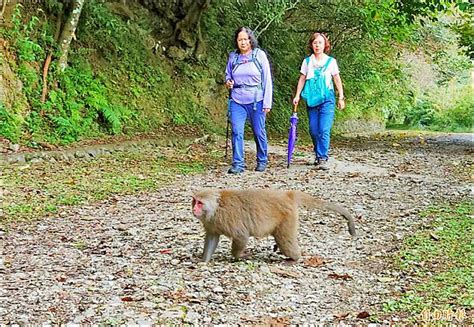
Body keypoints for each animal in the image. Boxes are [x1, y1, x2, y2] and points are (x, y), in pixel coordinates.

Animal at [190, 190, 356, 264]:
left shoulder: (228, 218)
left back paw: (294, 258)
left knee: (285, 241)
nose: (194, 209)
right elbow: (212, 237)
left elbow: (241, 235)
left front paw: (238, 256)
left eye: (200, 203)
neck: (216, 209)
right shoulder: (211, 223)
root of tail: (287, 195)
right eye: (194, 201)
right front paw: (204, 260)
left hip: (288, 218)